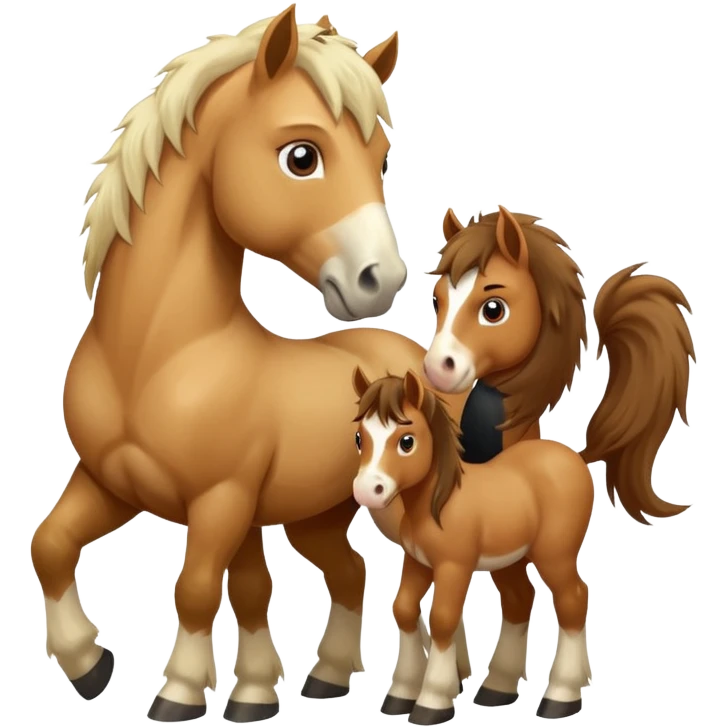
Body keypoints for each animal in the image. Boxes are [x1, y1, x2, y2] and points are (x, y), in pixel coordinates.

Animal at [31, 8, 453, 723]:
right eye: (302, 155)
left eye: (379, 159)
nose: (381, 279)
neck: (154, 359)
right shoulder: (110, 481)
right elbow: (51, 546)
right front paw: (91, 666)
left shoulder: (220, 501)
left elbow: (199, 587)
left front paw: (178, 691)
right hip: (317, 515)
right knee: (349, 572)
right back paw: (326, 679)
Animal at [351, 367, 693, 724]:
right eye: (360, 437)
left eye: (407, 441)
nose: (367, 490)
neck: (439, 502)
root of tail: (575, 457)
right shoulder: (418, 562)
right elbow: (403, 610)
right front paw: (400, 695)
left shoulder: (454, 566)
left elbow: (443, 619)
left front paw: (432, 702)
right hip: (510, 560)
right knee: (519, 600)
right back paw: (497, 690)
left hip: (555, 556)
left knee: (573, 598)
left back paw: (561, 697)